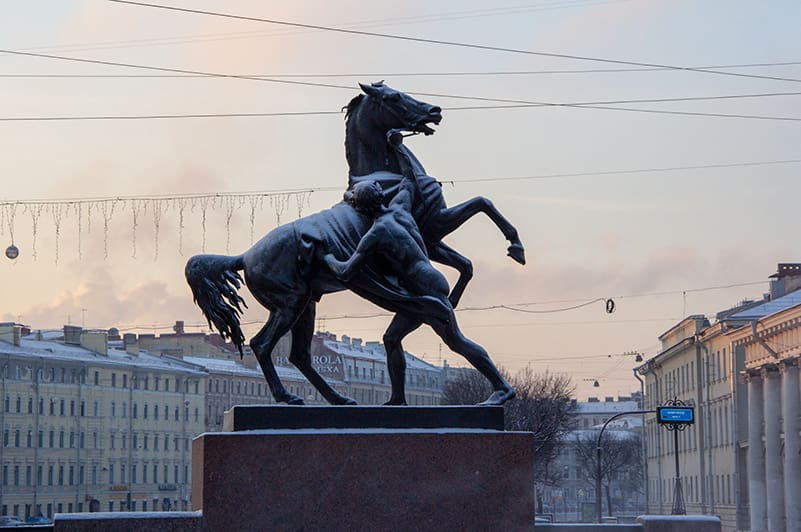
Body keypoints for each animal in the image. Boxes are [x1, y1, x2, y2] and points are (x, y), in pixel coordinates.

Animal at [188, 82, 524, 408]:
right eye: (394, 97)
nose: (434, 110)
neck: (384, 178)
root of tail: (245, 256)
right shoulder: (435, 225)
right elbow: (482, 203)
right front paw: (515, 246)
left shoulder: (430, 239)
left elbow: (466, 261)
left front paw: (454, 295)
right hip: (289, 303)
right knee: (262, 345)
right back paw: (290, 396)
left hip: (305, 304)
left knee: (299, 354)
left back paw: (340, 398)